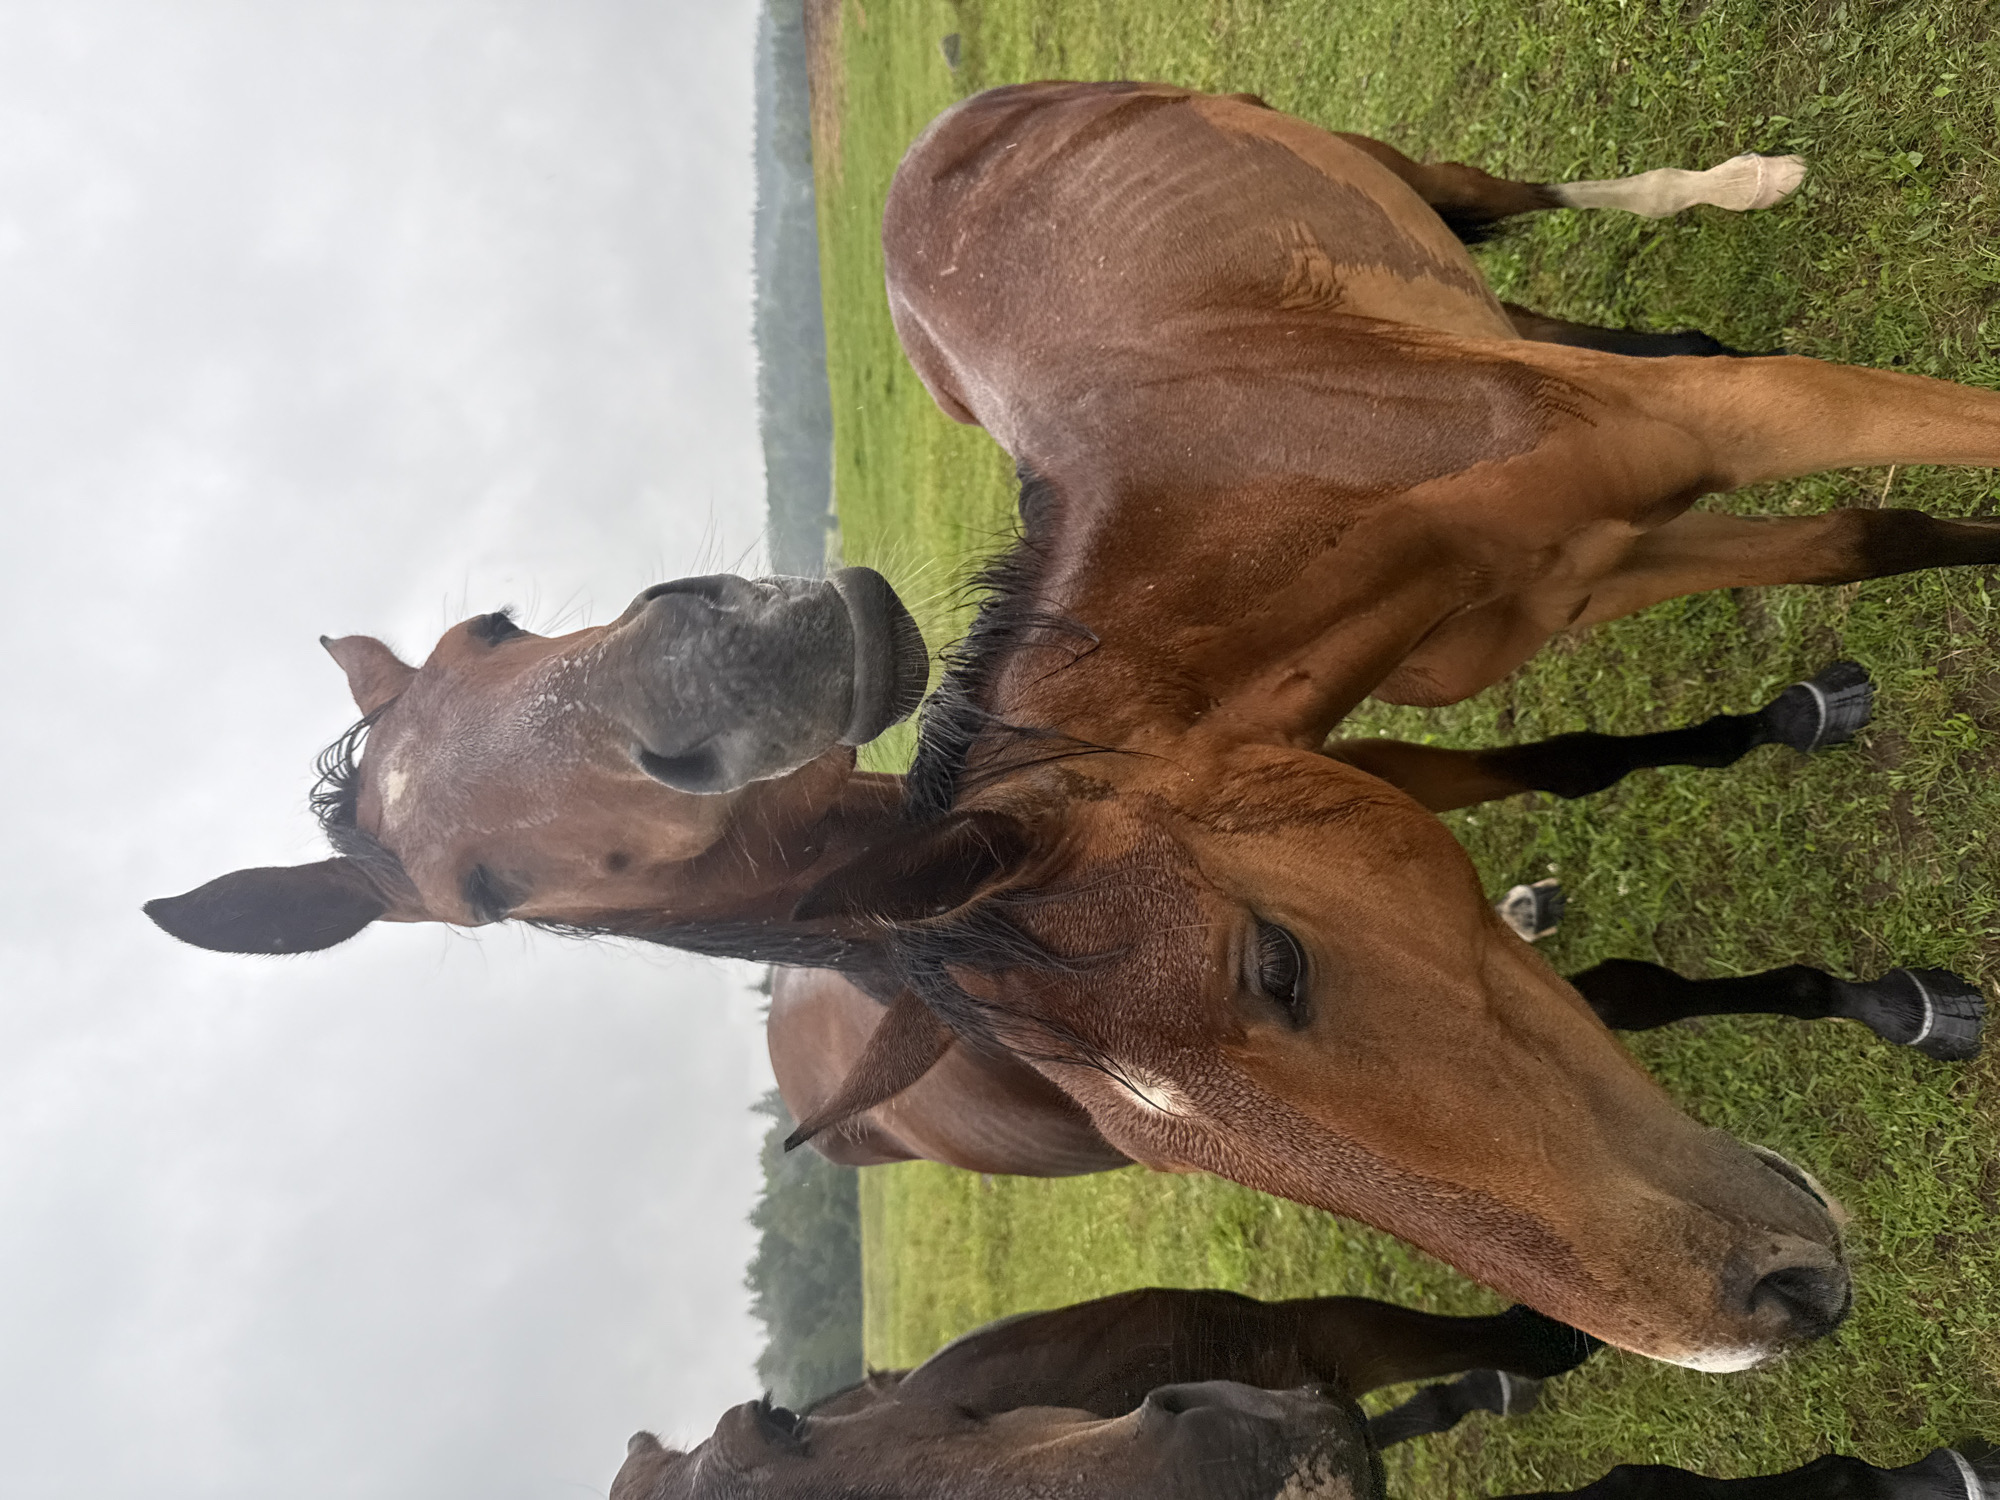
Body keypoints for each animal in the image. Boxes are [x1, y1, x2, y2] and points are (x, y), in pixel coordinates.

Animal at [782, 80, 2000, 1370]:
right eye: (1161, 1151)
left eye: (1275, 966)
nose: (1771, 1306)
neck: (1276, 475)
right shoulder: (1589, 576)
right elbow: (1860, 545)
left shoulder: (1744, 421)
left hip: (1390, 164)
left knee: (1508, 196)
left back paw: (1740, 181)